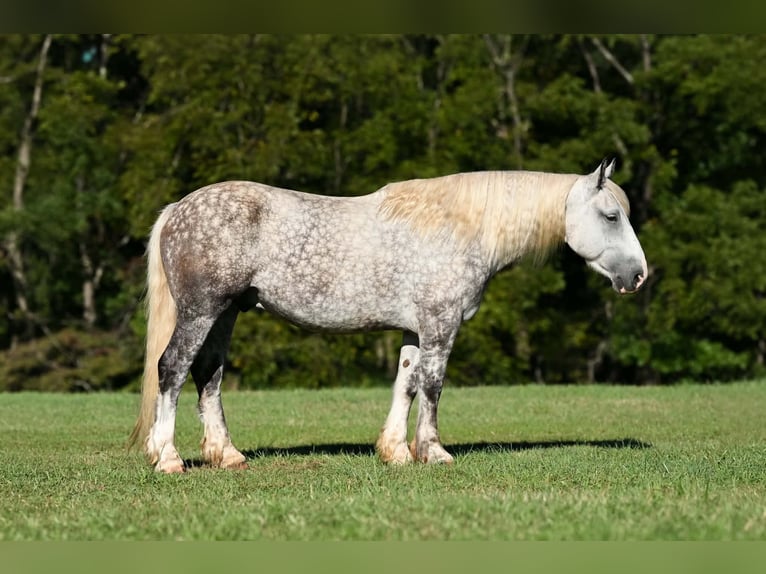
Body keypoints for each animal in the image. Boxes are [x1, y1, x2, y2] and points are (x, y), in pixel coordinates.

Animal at [129, 159, 647, 473]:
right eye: (611, 216)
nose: (639, 275)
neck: (460, 227)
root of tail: (178, 209)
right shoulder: (440, 324)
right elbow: (433, 386)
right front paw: (434, 452)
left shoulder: (414, 330)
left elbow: (407, 383)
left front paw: (396, 451)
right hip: (201, 312)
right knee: (172, 369)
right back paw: (168, 457)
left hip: (225, 314)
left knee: (208, 375)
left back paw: (227, 454)